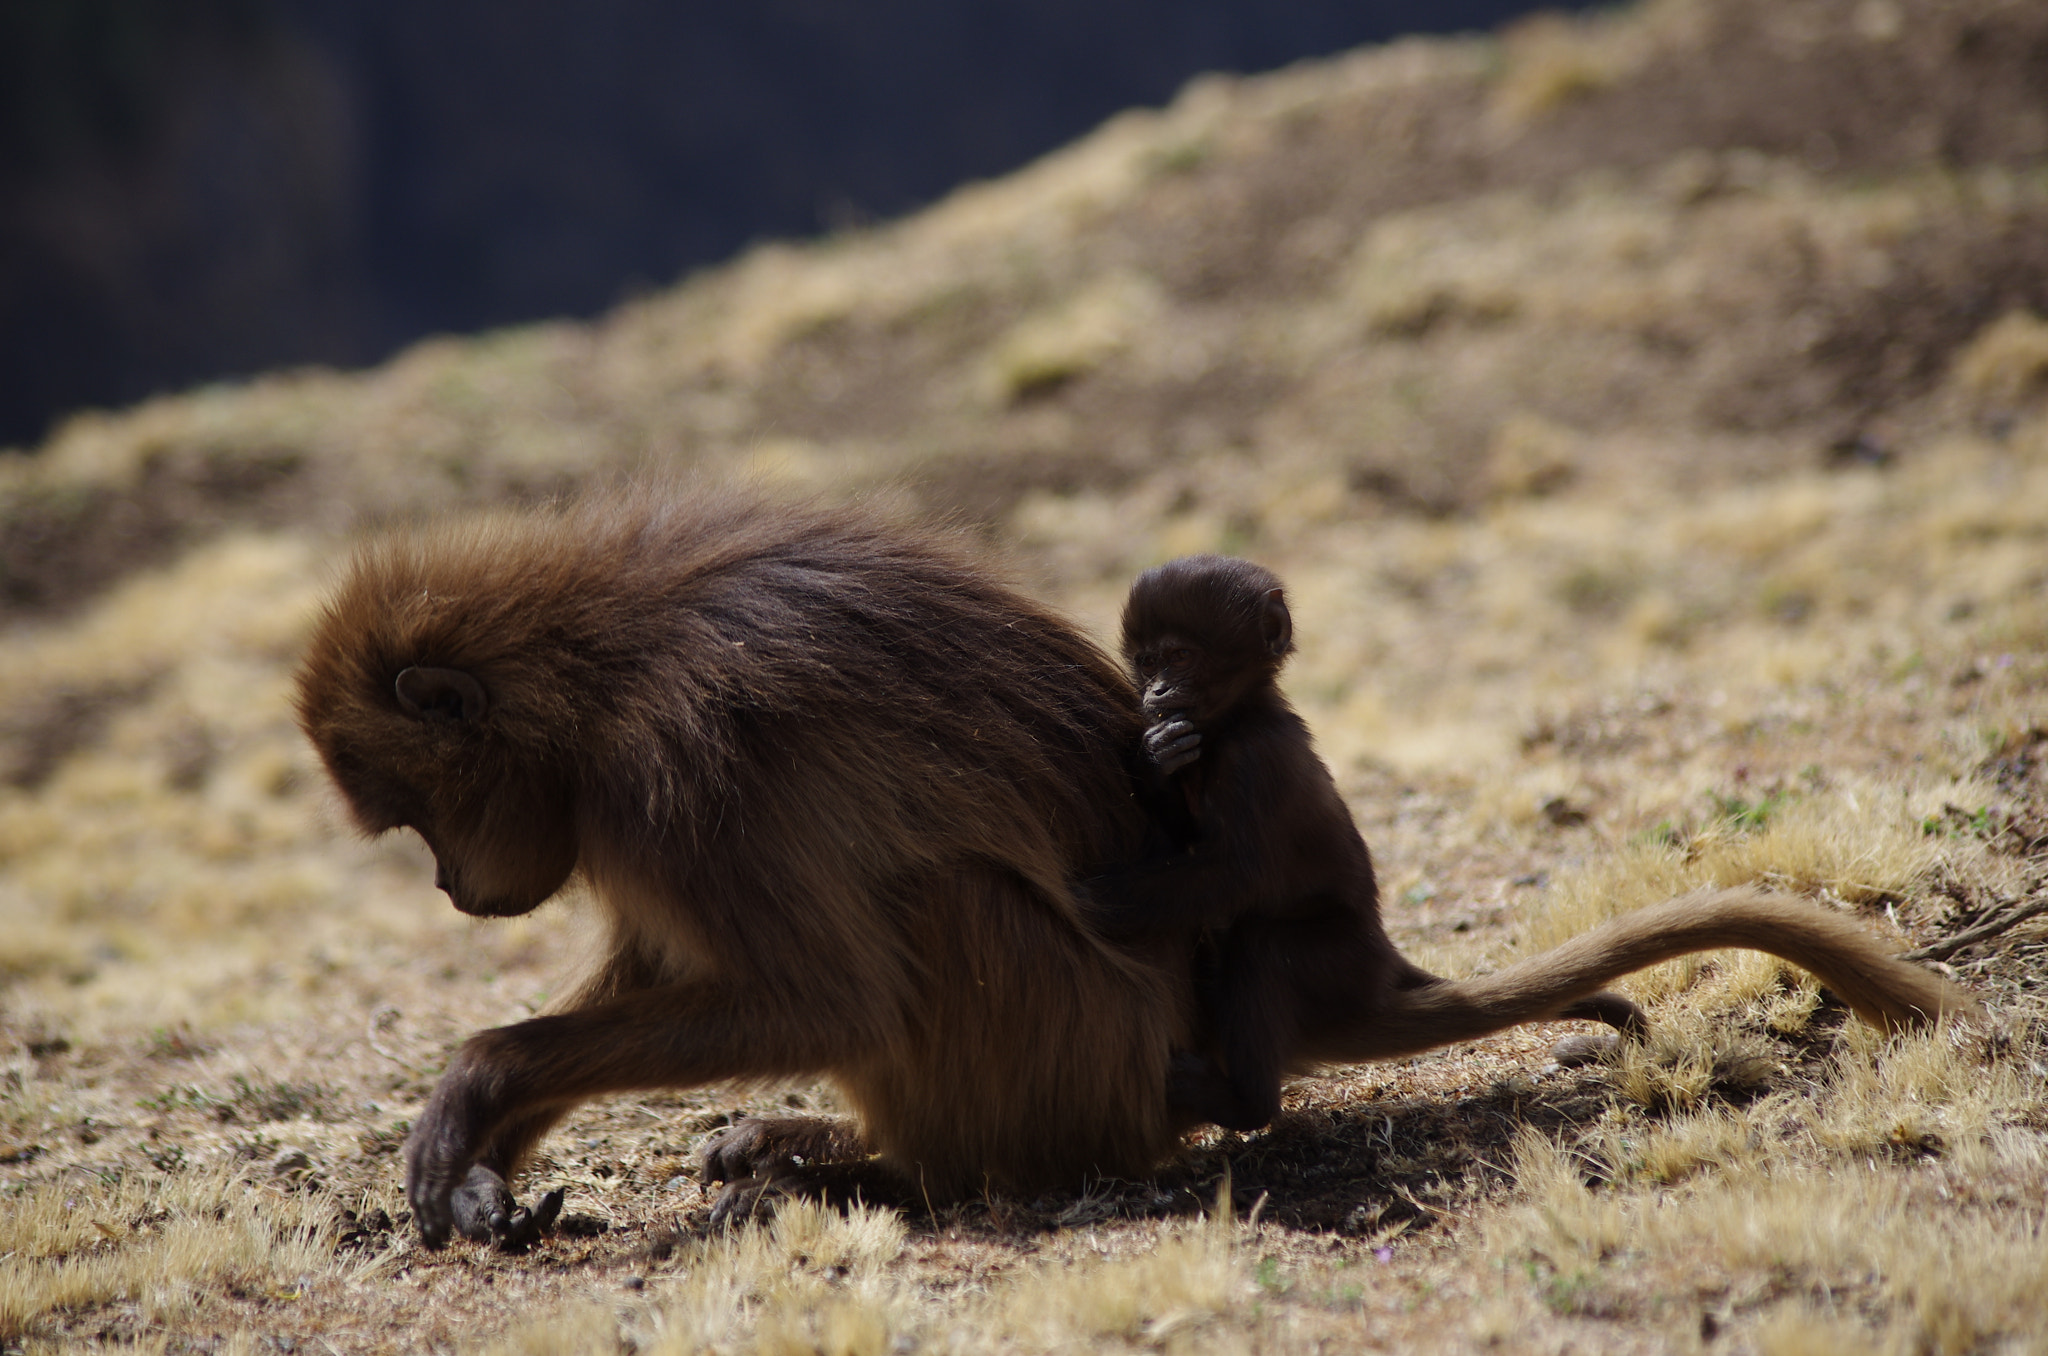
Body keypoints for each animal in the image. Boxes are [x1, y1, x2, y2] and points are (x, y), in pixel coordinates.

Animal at [296, 493, 1974, 1245]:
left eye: (413, 811)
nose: (452, 890)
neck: (596, 675)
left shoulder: (686, 780)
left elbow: (824, 998)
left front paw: (471, 1091)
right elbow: (668, 970)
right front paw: (489, 1148)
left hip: (1088, 1049)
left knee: (939, 916)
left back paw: (893, 1170)